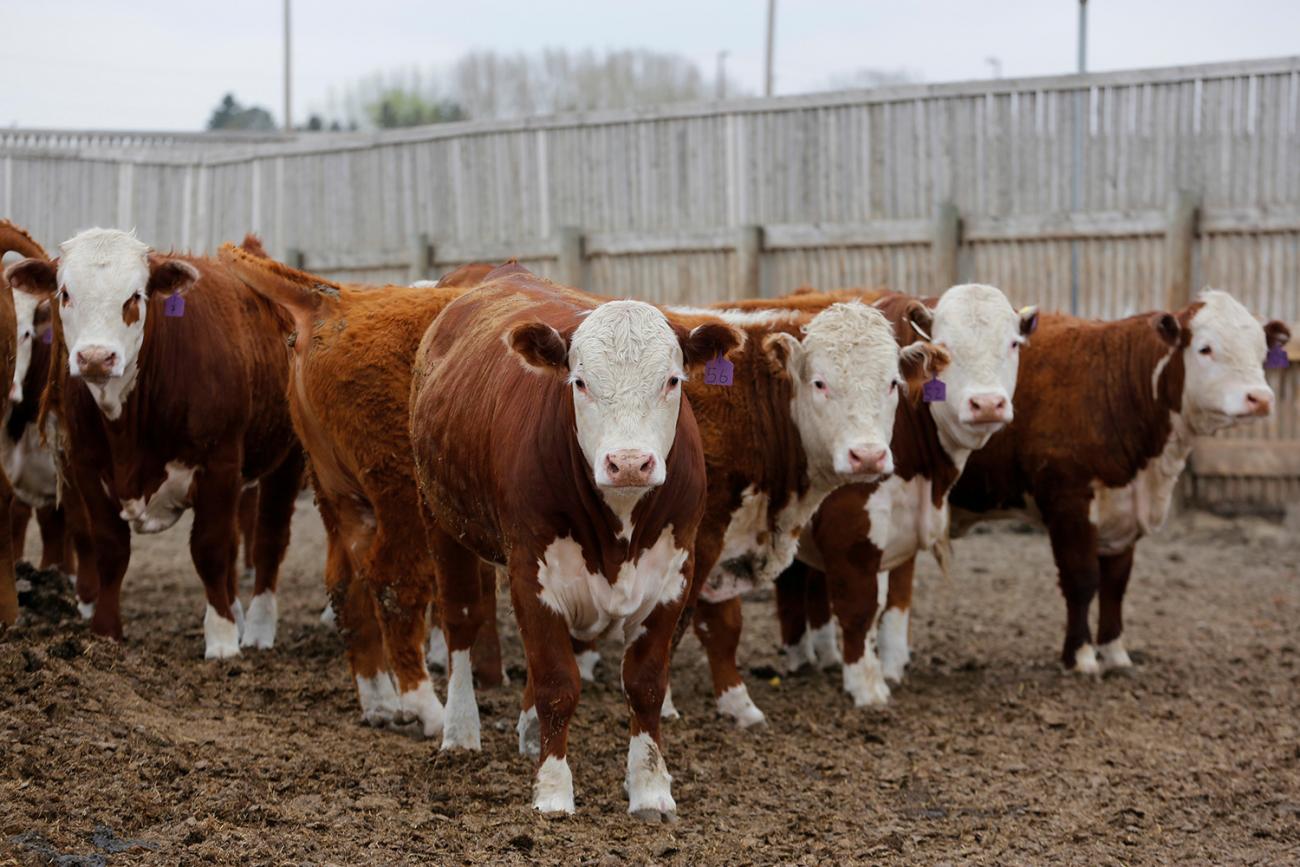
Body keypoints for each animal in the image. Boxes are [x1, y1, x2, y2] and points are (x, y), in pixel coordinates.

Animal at [3, 227, 301, 655]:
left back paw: (259, 628)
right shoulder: (86, 467)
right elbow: (109, 548)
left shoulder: (220, 464)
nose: (96, 357)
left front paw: (222, 639)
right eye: (65, 294)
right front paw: (106, 633)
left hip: (288, 457)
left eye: (134, 296)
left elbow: (210, 549)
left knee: (269, 540)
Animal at [220, 245, 504, 738]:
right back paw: (426, 709)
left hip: (338, 493)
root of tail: (333, 300)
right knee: (393, 582)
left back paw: (379, 702)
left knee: (345, 586)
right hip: (402, 489)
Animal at [405, 266, 743, 821]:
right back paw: (460, 731)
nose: (628, 463)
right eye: (580, 382)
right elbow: (557, 683)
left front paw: (651, 790)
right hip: (439, 517)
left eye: (672, 380)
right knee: (460, 624)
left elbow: (646, 685)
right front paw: (553, 791)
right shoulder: (531, 573)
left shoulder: (673, 575)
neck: (618, 527)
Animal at [754, 284, 1034, 707]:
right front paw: (866, 687)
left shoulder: (902, 526)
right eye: (944, 346)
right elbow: (859, 609)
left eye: (1013, 343)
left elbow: (895, 601)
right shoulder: (850, 533)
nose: (987, 404)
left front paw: (890, 666)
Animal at [935, 291, 1289, 670]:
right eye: (1205, 348)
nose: (1260, 398)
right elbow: (1082, 579)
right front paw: (1081, 655)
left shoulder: (1123, 509)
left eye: (1262, 351)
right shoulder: (1069, 501)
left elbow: (1115, 584)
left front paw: (1115, 652)